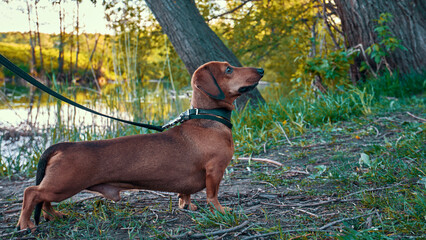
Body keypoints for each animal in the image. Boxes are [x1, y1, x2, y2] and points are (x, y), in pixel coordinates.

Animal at [17, 61, 262, 232]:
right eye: (229, 69)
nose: (260, 70)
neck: (207, 118)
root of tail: (61, 146)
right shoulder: (215, 170)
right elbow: (213, 195)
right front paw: (221, 211)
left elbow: (185, 193)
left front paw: (187, 205)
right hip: (63, 185)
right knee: (32, 193)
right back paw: (25, 224)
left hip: (58, 186)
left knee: (43, 199)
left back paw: (54, 215)